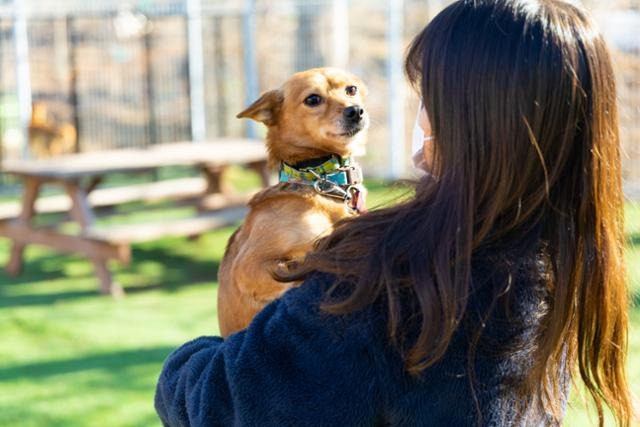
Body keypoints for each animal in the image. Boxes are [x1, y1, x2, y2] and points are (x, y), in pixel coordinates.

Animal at [219, 67, 370, 338]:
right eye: (313, 99)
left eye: (351, 89)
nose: (355, 110)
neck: (321, 183)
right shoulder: (249, 267)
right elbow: (299, 266)